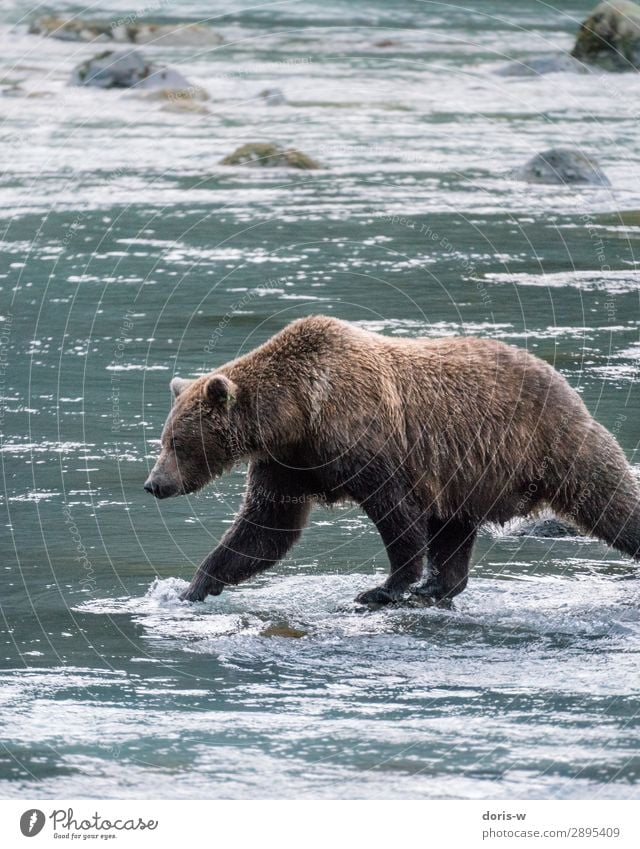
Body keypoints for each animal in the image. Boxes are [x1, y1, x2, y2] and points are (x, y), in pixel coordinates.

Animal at [145, 316, 640, 604]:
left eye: (177, 443)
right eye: (163, 440)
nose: (154, 484)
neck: (298, 413)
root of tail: (560, 378)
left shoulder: (365, 442)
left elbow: (396, 514)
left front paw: (383, 587)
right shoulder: (288, 462)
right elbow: (266, 529)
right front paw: (193, 586)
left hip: (547, 442)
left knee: (611, 498)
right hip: (467, 472)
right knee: (453, 529)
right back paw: (440, 585)